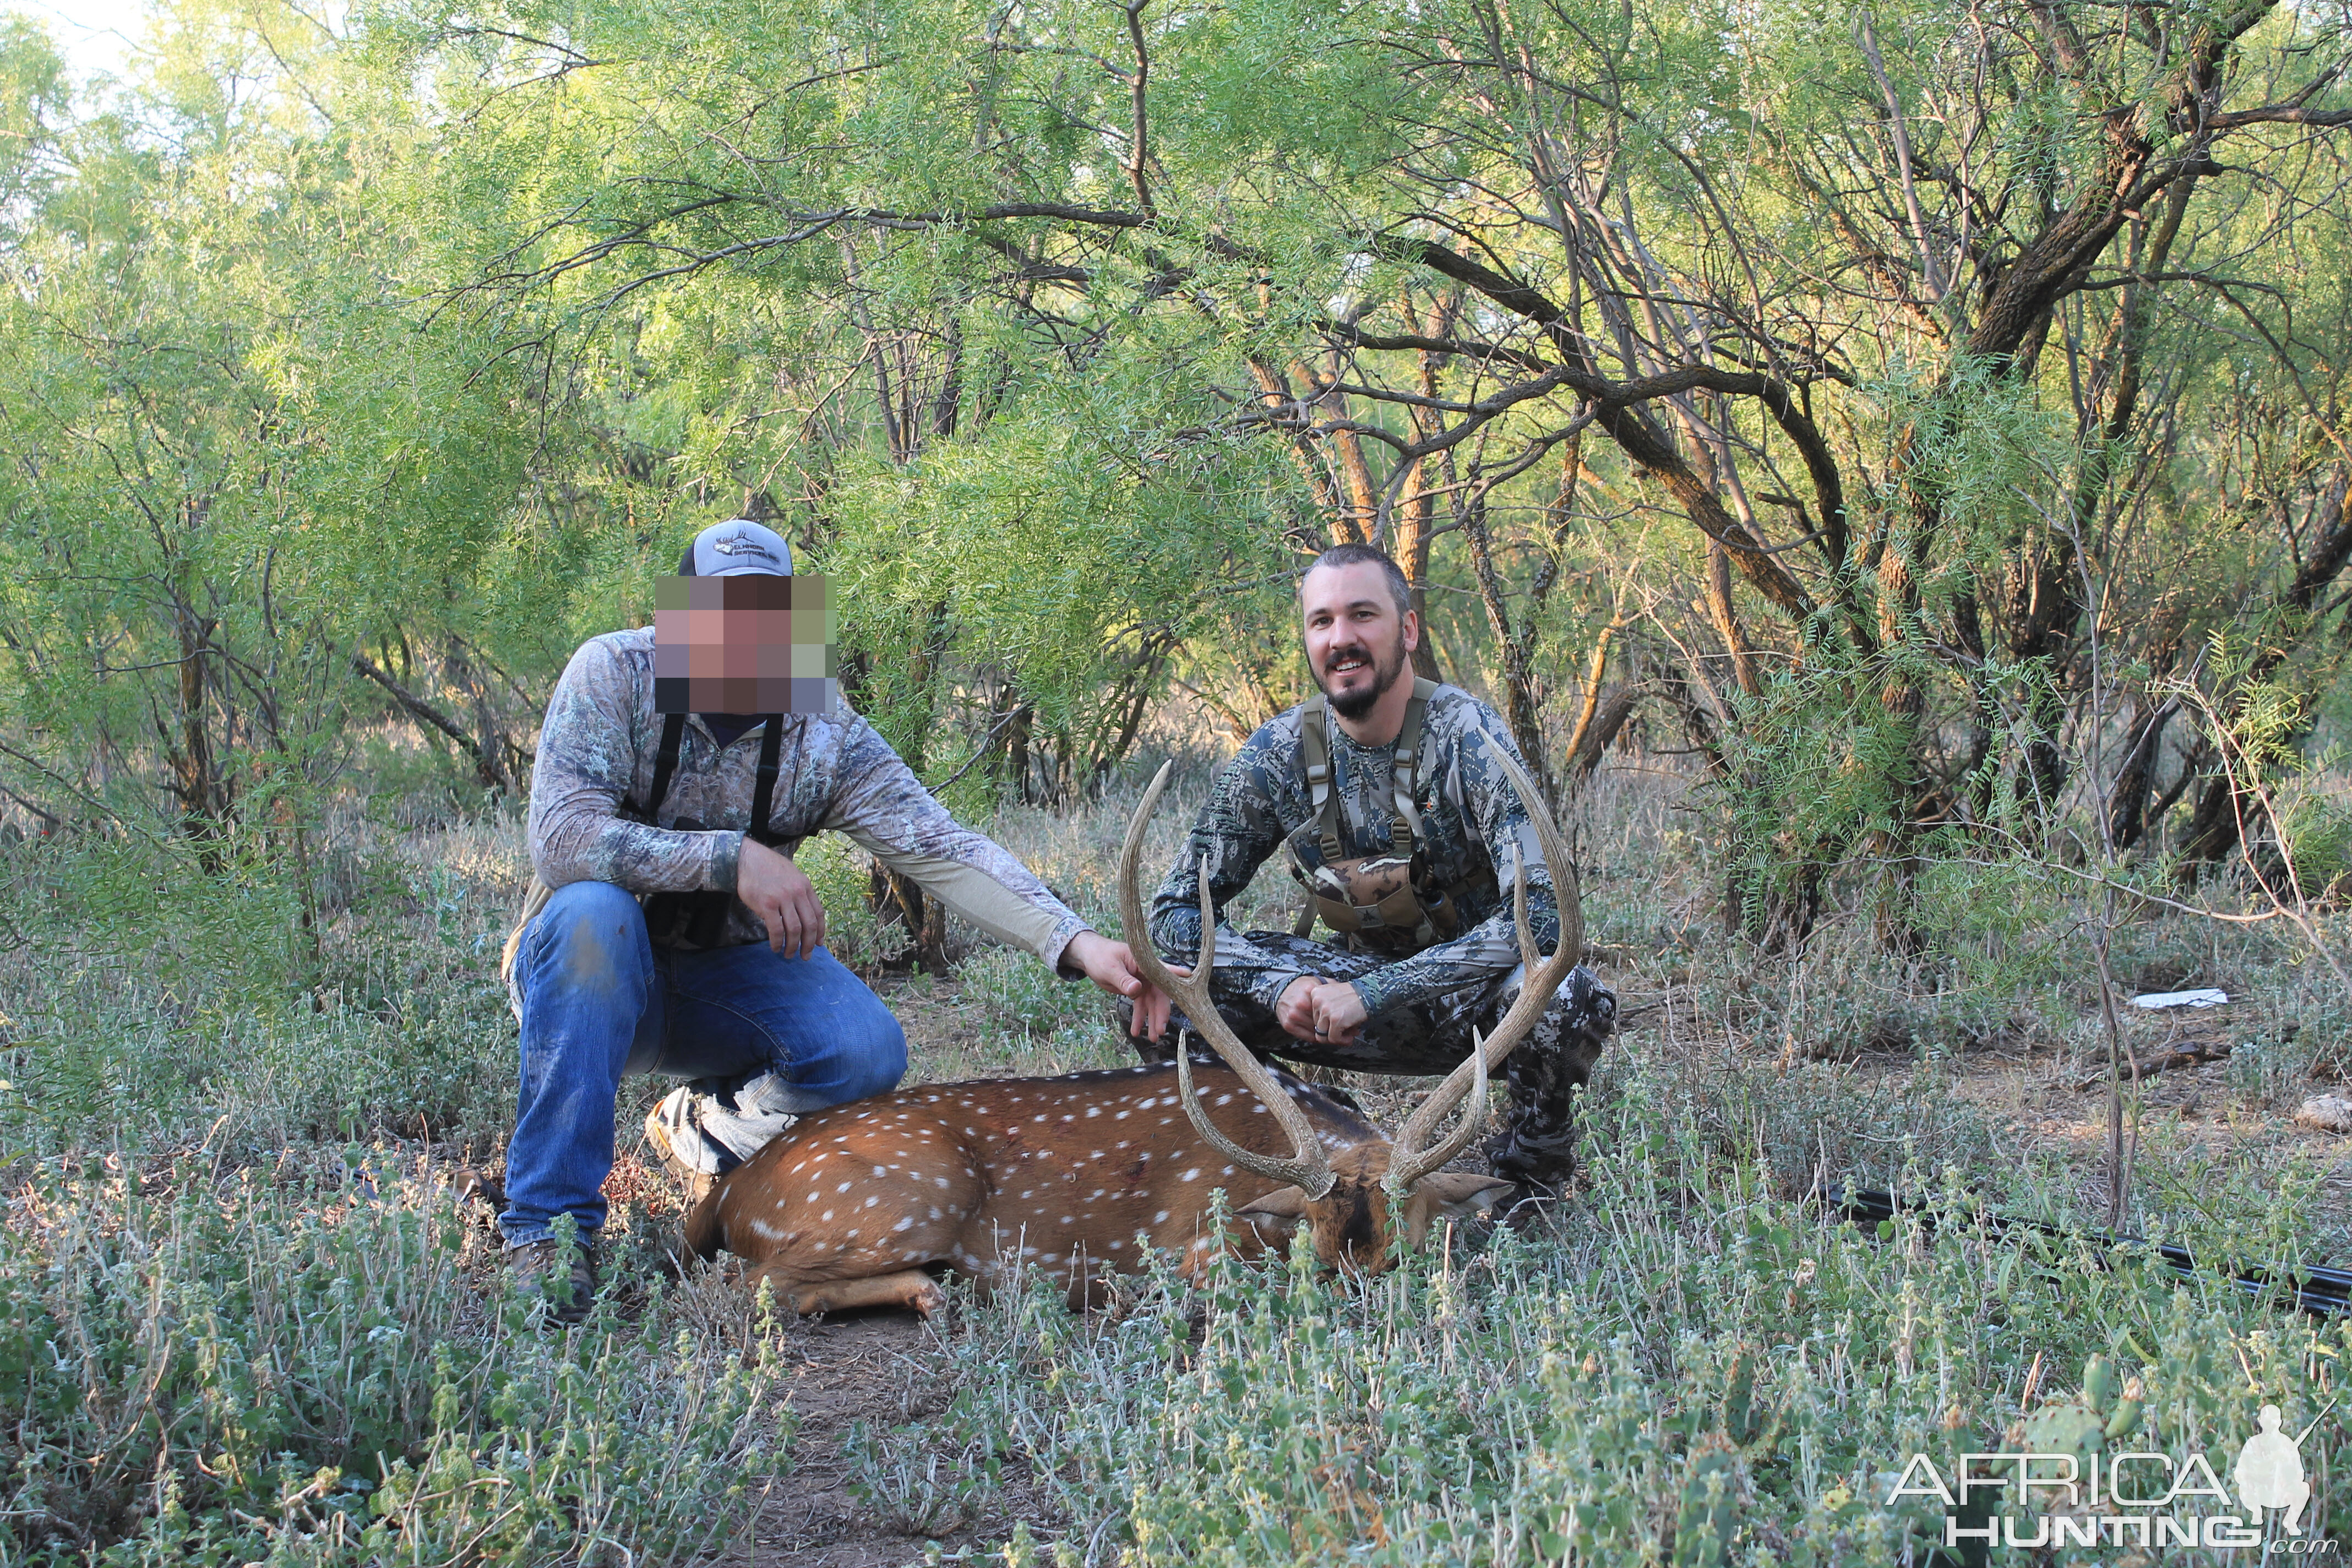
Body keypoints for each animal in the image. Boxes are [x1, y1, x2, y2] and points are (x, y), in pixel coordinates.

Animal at [682, 738, 1571, 1316]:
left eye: (1403, 1252)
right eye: (1311, 1256)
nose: (1356, 1302)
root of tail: (730, 1194)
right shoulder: (1198, 1243)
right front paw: (1124, 1289)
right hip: (897, 1197)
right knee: (755, 1282)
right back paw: (948, 1289)